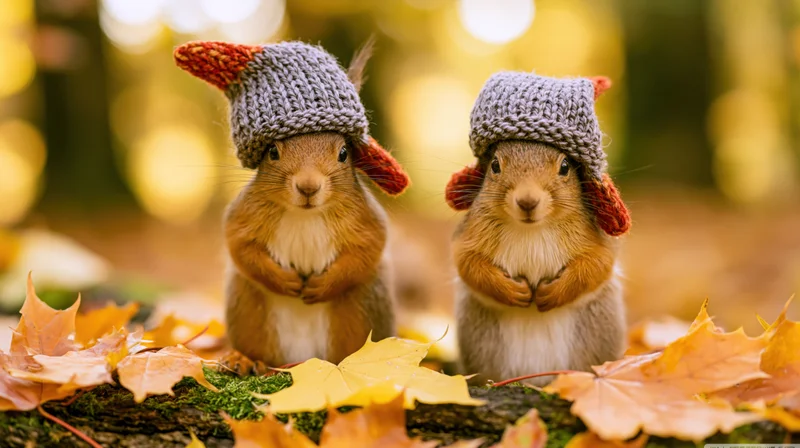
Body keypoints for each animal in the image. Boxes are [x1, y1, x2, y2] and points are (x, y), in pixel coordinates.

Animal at [173, 38, 410, 374]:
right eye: (272, 151)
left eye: (344, 153)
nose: (308, 187)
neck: (304, 215)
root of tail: (303, 360)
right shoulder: (243, 216)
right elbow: (241, 247)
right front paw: (284, 280)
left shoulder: (367, 220)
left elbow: (367, 250)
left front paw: (323, 285)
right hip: (250, 312)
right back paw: (243, 360)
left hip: (360, 313)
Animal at [445, 73, 631, 385]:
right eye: (495, 165)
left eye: (566, 166)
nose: (527, 201)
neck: (532, 230)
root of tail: (536, 379)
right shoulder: (468, 234)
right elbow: (467, 263)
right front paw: (512, 291)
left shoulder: (598, 240)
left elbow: (596, 265)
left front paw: (552, 294)